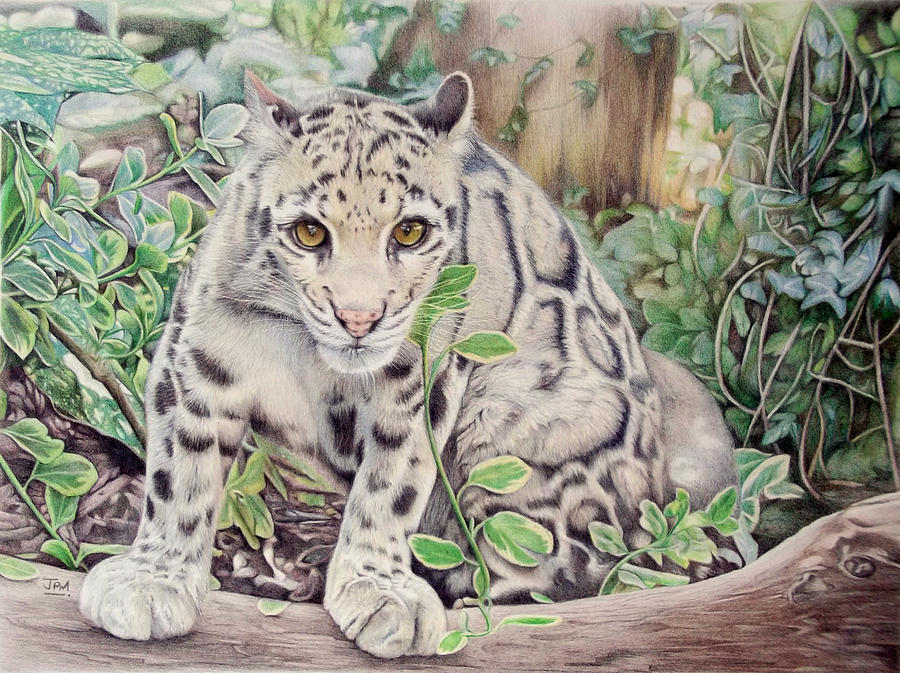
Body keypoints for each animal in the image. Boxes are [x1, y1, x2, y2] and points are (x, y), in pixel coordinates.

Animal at [78, 70, 737, 658]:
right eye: (310, 232)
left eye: (411, 231)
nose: (360, 318)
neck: (307, 354)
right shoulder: (198, 361)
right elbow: (178, 475)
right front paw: (153, 577)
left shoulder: (422, 378)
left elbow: (392, 480)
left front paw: (377, 589)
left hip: (518, 426)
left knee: (554, 568)